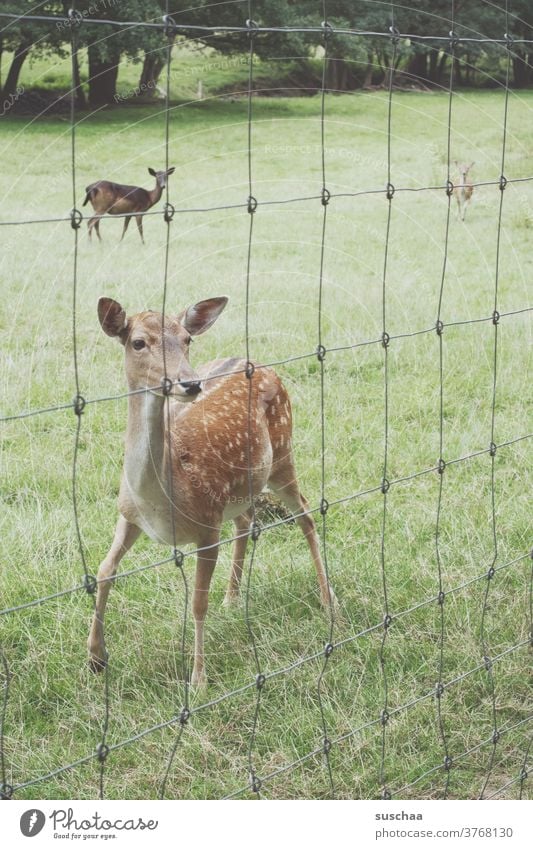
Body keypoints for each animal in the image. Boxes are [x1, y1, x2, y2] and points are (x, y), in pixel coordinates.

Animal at [87, 294, 336, 684]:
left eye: (187, 339)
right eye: (138, 342)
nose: (190, 384)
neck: (161, 497)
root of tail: (260, 364)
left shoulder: (207, 525)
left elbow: (197, 603)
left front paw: (199, 679)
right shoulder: (128, 514)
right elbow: (104, 570)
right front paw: (96, 657)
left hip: (283, 455)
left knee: (306, 514)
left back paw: (328, 600)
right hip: (242, 489)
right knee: (247, 521)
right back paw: (232, 598)